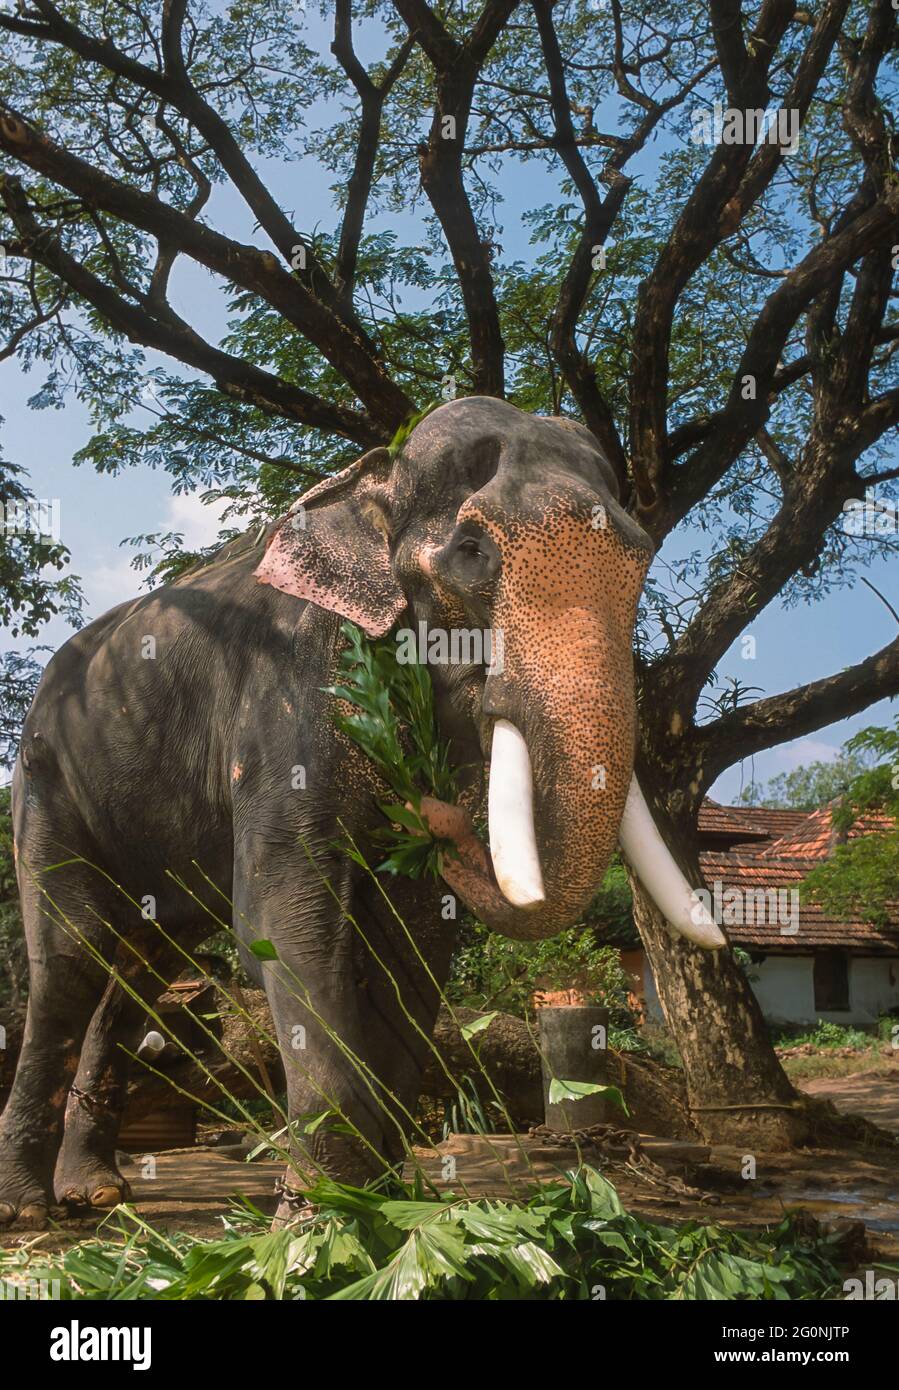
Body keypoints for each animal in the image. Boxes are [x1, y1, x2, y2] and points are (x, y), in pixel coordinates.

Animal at [0, 394, 722, 1228]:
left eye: (641, 558)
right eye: (472, 551)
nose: (439, 816)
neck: (373, 478)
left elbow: (412, 936)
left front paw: (380, 1205)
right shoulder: (292, 688)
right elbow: (289, 920)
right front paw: (319, 1220)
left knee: (145, 966)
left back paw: (96, 1190)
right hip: (46, 780)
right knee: (74, 954)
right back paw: (29, 1211)